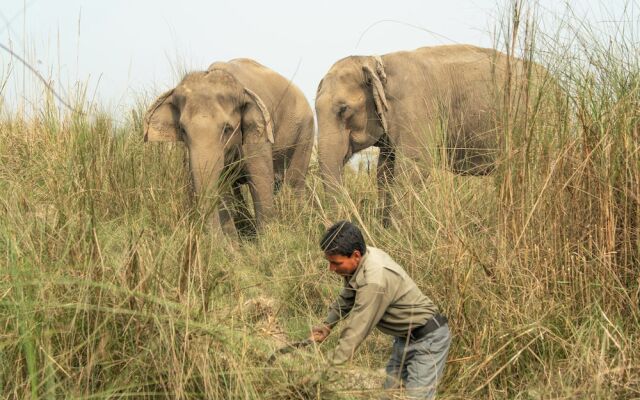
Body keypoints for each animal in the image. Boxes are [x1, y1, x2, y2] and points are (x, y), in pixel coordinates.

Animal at [144, 57, 316, 236]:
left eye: (227, 129)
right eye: (182, 130)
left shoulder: (258, 136)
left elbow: (260, 180)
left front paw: (267, 238)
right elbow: (222, 185)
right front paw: (233, 242)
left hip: (305, 131)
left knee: (294, 182)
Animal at [314, 45, 544, 227]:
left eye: (343, 109)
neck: (378, 61)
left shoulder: (417, 108)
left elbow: (413, 169)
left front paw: (400, 235)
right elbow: (384, 172)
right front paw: (386, 232)